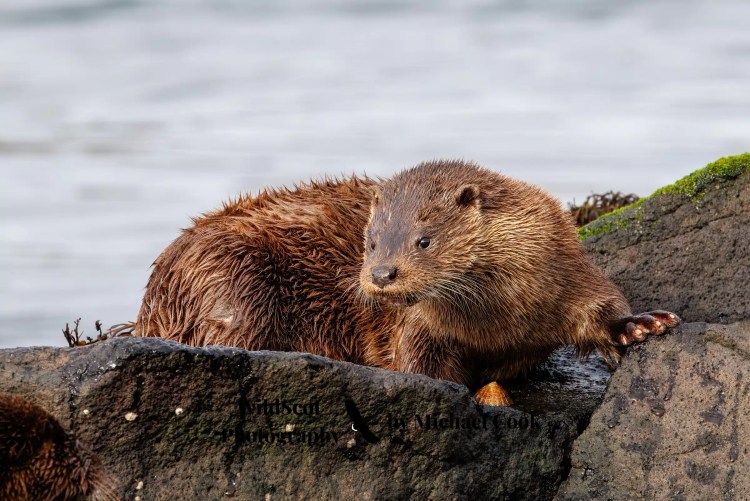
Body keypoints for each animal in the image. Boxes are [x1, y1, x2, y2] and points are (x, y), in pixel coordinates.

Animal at [136, 160, 679, 405]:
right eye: (371, 241)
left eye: (423, 240)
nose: (380, 275)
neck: (498, 323)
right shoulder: (419, 325)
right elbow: (417, 361)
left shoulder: (563, 269)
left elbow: (599, 303)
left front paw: (639, 325)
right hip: (229, 276)